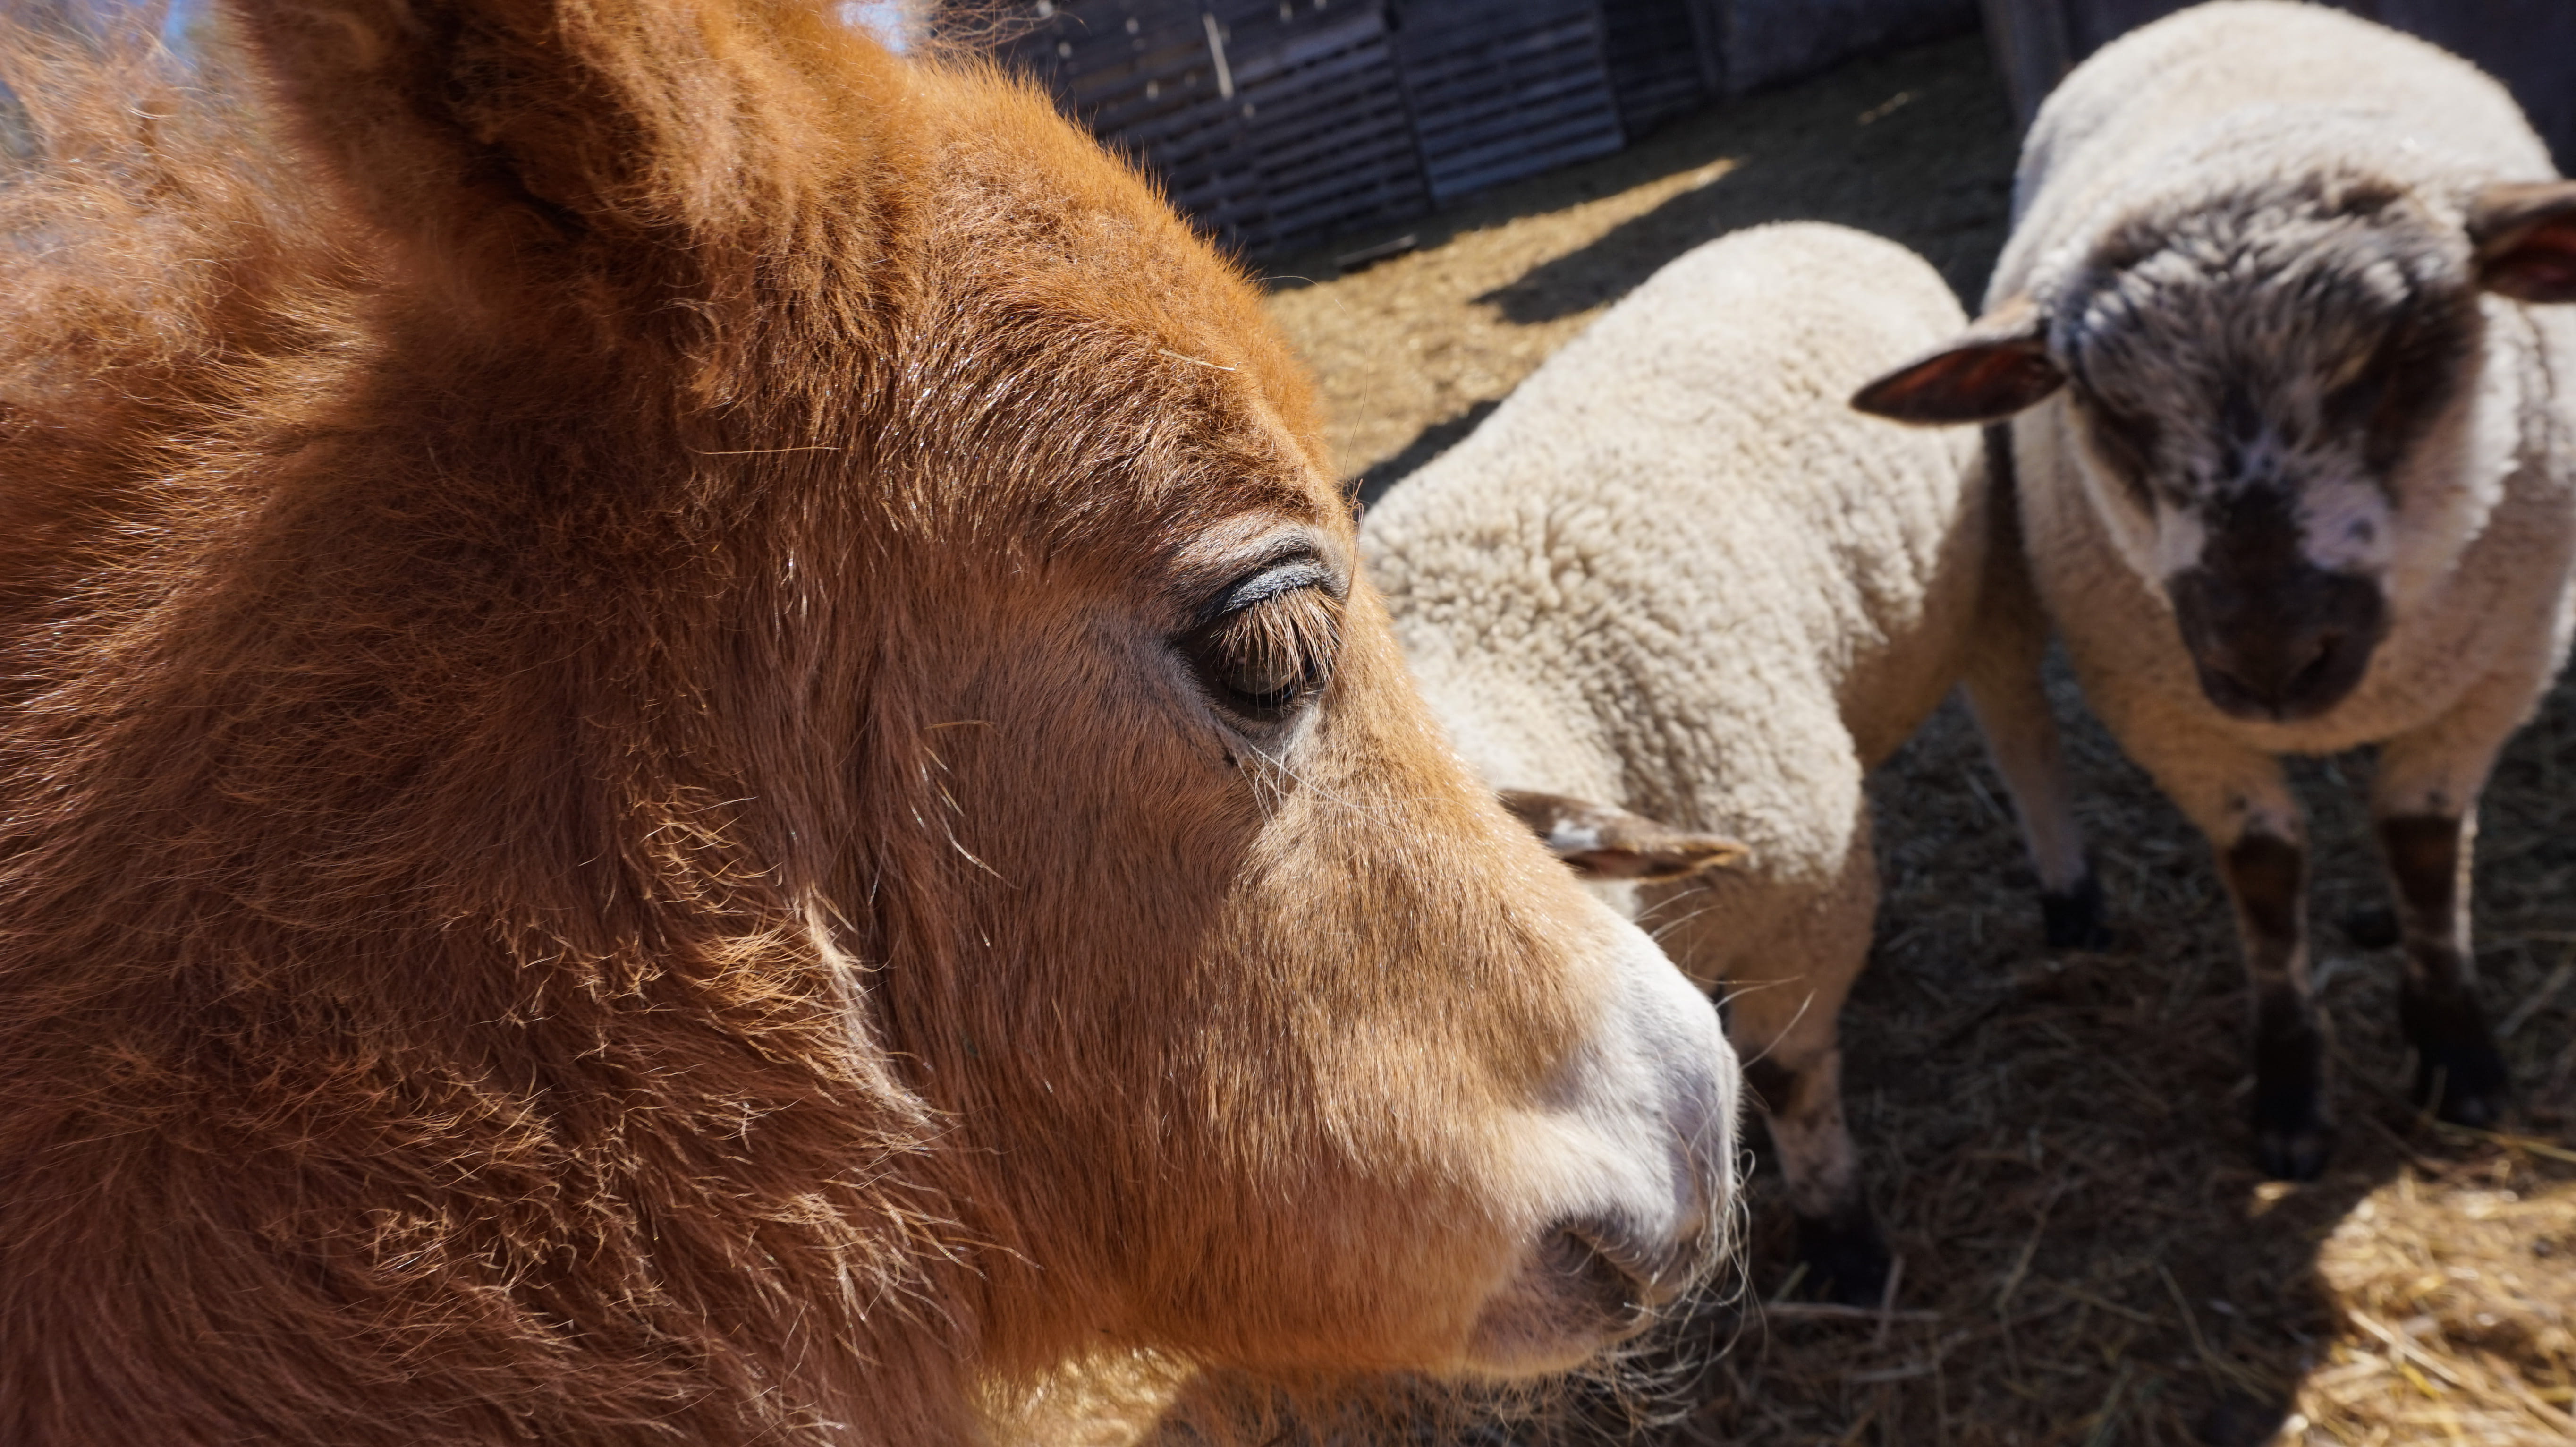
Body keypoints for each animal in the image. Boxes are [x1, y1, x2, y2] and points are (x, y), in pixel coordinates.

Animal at [1362, 221, 2093, 1303]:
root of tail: (1797, 227)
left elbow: (1786, 1077)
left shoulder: (1795, 901)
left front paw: (1845, 1242)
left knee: (2017, 722)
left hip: (1987, 572)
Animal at [1853, 0, 2576, 1180]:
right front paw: (2289, 1096)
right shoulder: (2164, 709)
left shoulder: (2499, 673)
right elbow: (2266, 877)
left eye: (2404, 353)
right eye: (2102, 403)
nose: (2269, 659)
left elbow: (2424, 851)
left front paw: (2456, 1056)